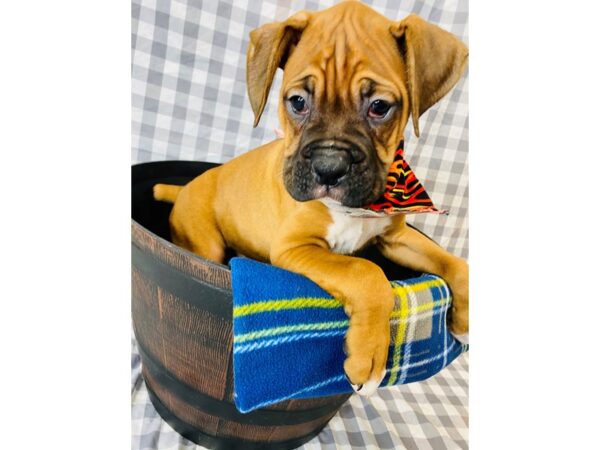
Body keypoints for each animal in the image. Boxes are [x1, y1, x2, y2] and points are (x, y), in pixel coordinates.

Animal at [155, 0, 468, 394]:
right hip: (204, 243)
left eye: (380, 107)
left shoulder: (396, 239)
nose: (329, 167)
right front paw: (369, 360)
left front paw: (465, 321)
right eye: (298, 102)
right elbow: (366, 273)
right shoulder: (297, 248)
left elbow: (456, 263)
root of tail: (187, 186)